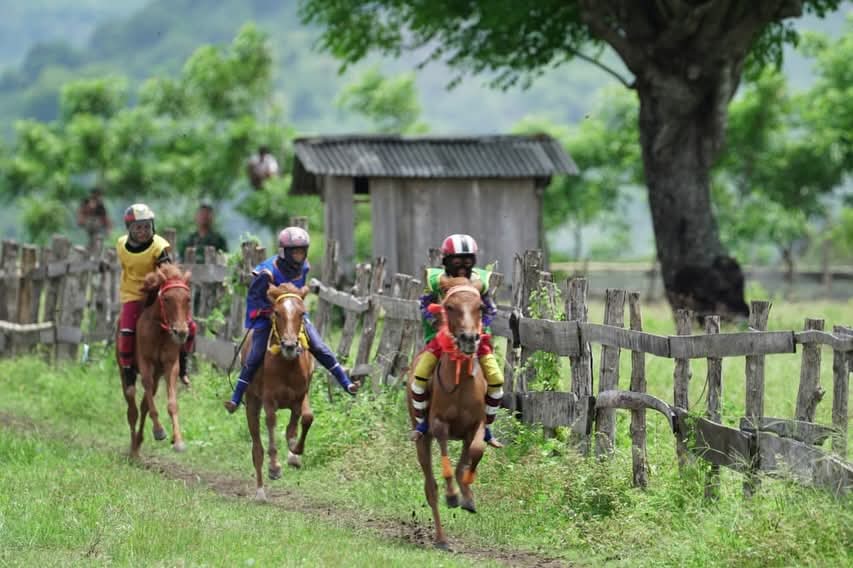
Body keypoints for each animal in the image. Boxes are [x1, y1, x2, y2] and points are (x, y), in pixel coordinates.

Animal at [117, 264, 192, 458]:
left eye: (188, 299)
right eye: (166, 299)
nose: (181, 332)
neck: (159, 330)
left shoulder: (170, 364)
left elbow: (171, 402)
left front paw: (178, 441)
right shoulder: (146, 362)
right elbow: (147, 386)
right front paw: (159, 430)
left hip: (159, 372)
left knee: (143, 405)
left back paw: (138, 442)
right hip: (124, 370)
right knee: (132, 406)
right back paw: (133, 449)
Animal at [241, 283, 314, 501]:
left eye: (302, 313)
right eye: (277, 312)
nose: (289, 346)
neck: (286, 366)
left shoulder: (300, 396)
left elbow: (304, 419)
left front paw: (294, 452)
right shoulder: (269, 400)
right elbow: (272, 424)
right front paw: (274, 467)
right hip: (251, 402)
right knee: (257, 449)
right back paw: (260, 492)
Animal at [407, 275, 489, 549]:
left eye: (480, 307)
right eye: (450, 307)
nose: (469, 338)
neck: (461, 382)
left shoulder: (476, 425)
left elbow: (474, 452)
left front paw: (468, 496)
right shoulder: (439, 424)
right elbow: (446, 460)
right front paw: (453, 495)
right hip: (421, 436)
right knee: (430, 486)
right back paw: (441, 538)